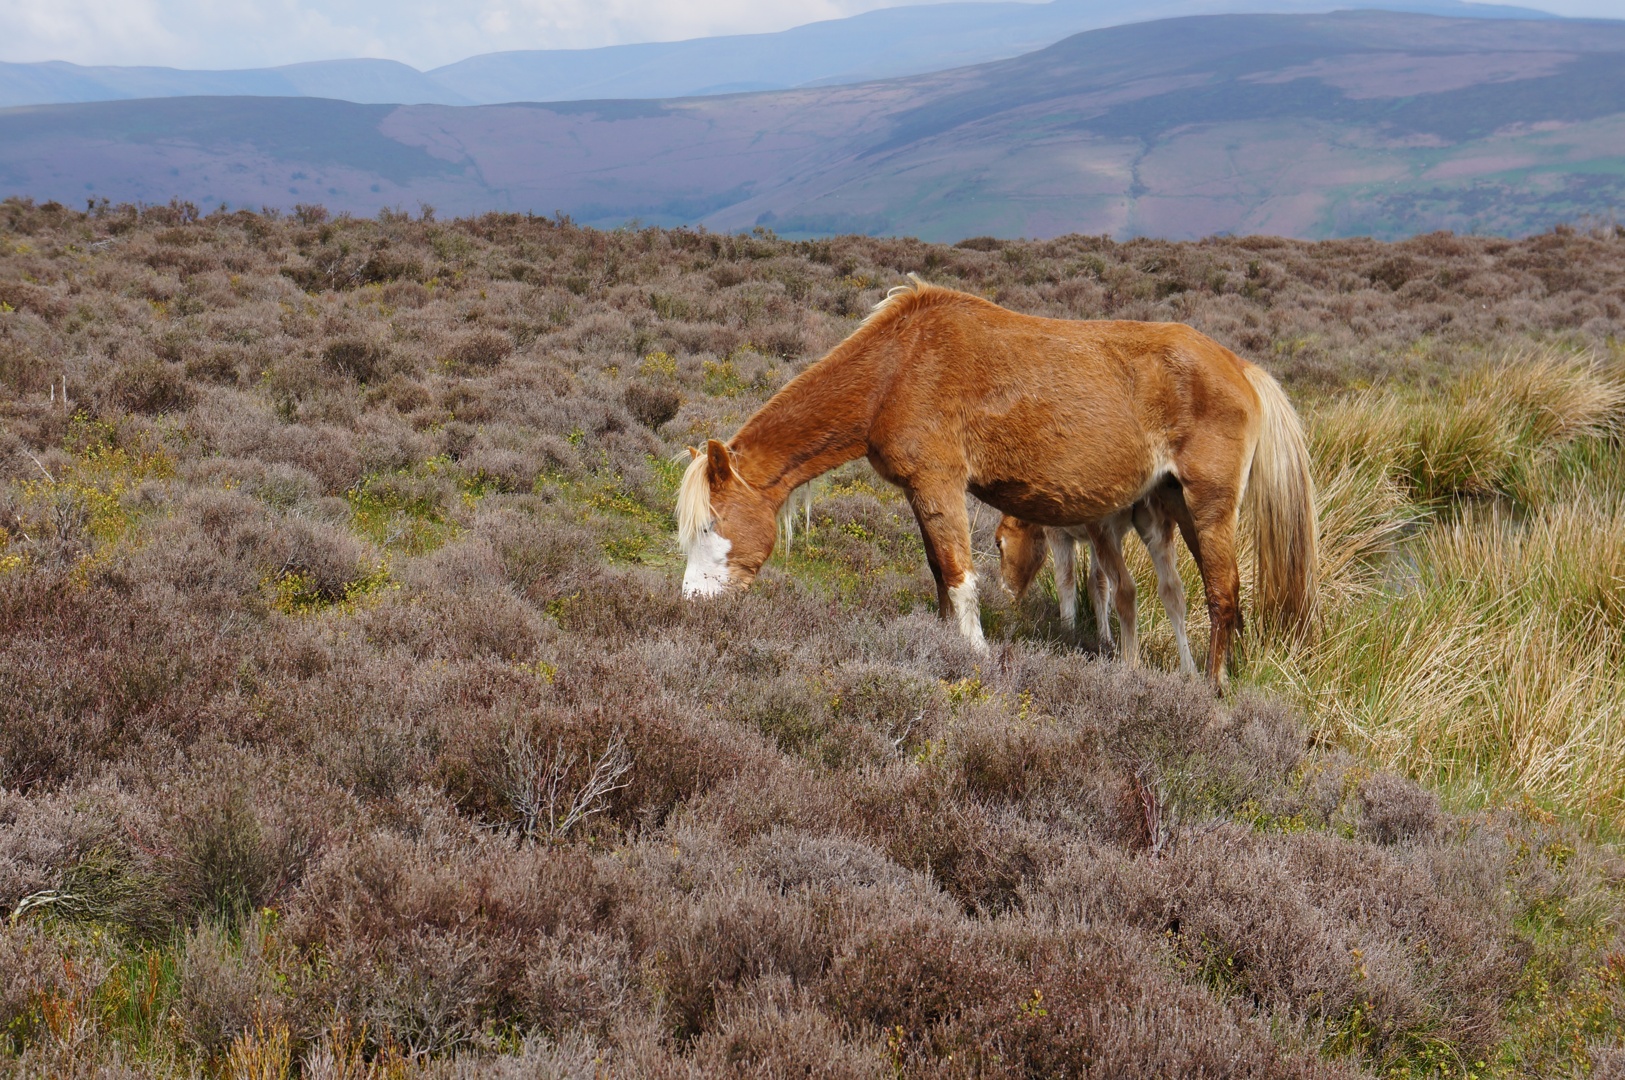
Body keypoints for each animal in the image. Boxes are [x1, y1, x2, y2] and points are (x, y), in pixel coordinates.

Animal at [994, 480, 1202, 675]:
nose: (1005, 590)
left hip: (1105, 530)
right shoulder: (1093, 543)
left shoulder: (1058, 533)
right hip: (1155, 525)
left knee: (1125, 589)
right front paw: (1105, 640)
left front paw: (1067, 631)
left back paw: (1131, 663)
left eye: (998, 542)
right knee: (1172, 591)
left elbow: (1065, 580)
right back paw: (1189, 671)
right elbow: (1098, 585)